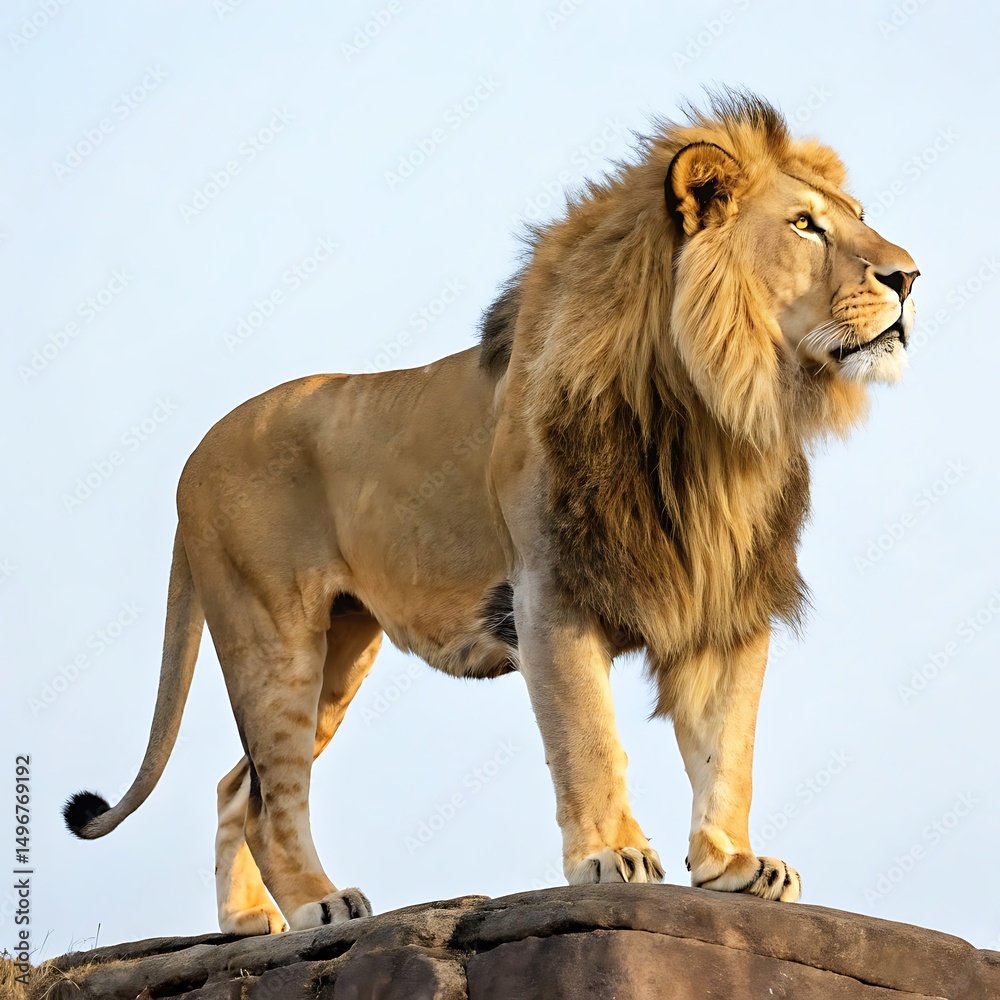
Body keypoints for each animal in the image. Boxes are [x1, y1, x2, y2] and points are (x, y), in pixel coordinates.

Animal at [64, 90, 918, 935]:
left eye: (857, 216)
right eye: (804, 224)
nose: (909, 276)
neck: (715, 411)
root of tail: (193, 456)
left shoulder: (727, 601)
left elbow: (727, 749)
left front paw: (732, 864)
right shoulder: (549, 590)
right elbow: (588, 735)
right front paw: (610, 855)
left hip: (340, 644)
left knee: (240, 788)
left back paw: (249, 920)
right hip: (272, 633)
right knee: (273, 796)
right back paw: (317, 903)